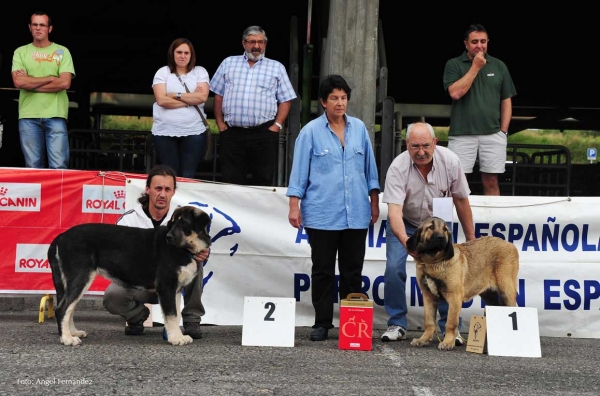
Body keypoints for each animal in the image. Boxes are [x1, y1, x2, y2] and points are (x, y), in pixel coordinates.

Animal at [47, 206, 211, 344]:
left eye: (184, 223)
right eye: (172, 223)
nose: (168, 237)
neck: (185, 250)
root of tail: (61, 236)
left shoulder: (175, 289)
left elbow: (175, 315)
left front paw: (177, 335)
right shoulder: (166, 286)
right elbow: (171, 315)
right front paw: (176, 339)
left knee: (69, 308)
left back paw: (72, 333)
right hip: (80, 277)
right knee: (62, 309)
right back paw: (67, 339)